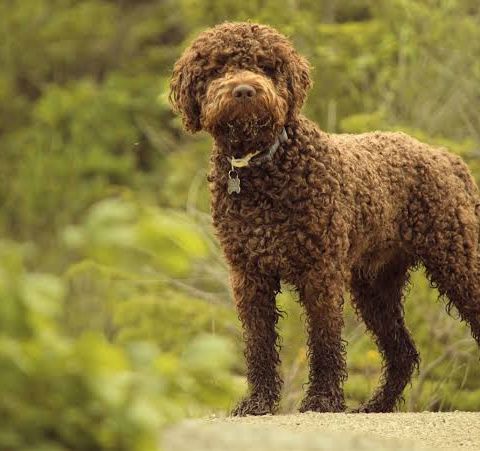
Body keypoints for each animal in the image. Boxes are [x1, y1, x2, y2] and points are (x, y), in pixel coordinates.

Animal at [170, 21, 480, 416]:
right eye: (218, 68)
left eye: (266, 66)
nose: (244, 90)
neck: (265, 168)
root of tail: (445, 157)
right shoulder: (249, 275)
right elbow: (258, 343)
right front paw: (258, 401)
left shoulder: (320, 271)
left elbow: (324, 338)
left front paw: (322, 399)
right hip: (374, 286)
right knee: (402, 353)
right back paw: (376, 405)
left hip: (455, 261)